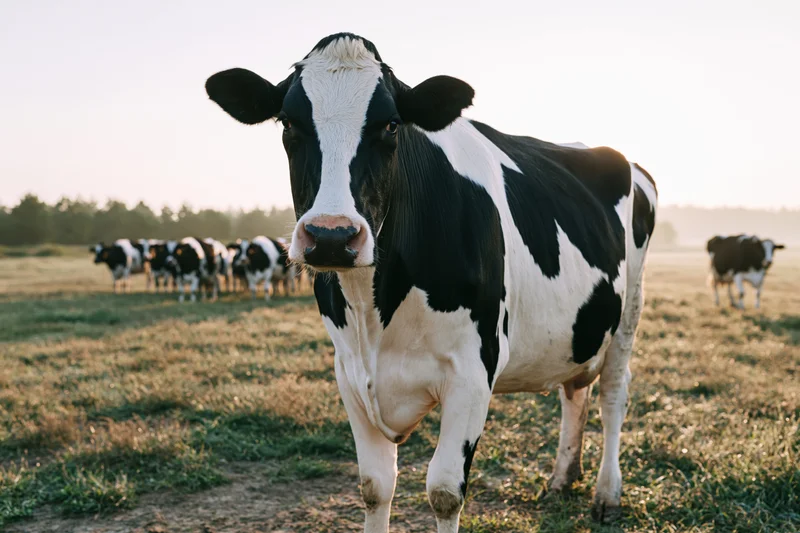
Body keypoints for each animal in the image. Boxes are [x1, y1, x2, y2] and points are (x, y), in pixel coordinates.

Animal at [206, 33, 658, 530]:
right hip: (580, 328)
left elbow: (443, 492)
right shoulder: (348, 372)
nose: (332, 236)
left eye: (391, 125)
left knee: (613, 394)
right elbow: (374, 486)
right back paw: (562, 478)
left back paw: (606, 493)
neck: (375, 313)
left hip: (629, 313)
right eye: (288, 122)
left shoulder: (474, 370)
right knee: (575, 390)